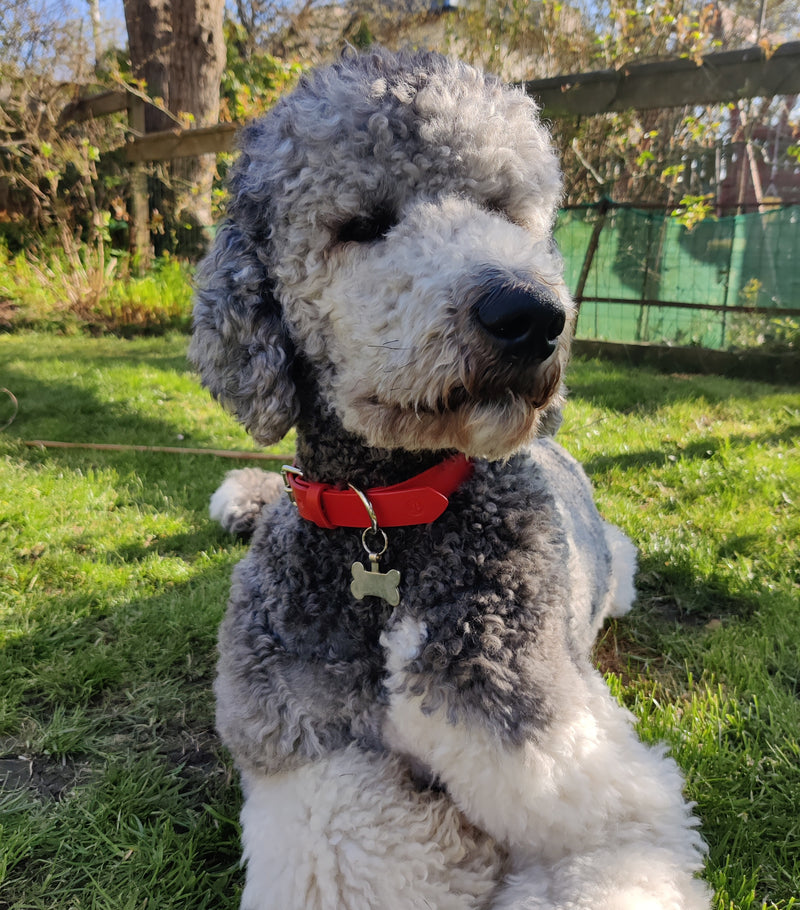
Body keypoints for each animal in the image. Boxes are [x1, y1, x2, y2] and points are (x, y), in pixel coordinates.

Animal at [191, 48, 708, 910]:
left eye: (504, 208)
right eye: (363, 222)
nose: (531, 315)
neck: (391, 519)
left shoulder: (578, 773)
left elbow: (599, 849)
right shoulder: (298, 751)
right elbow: (347, 837)